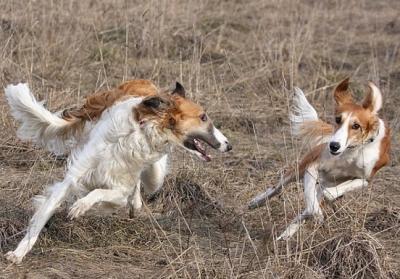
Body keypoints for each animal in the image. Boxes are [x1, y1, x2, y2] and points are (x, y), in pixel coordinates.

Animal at [248, 78, 390, 241]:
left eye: (356, 126)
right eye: (338, 119)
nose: (333, 146)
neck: (350, 153)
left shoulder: (366, 179)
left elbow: (327, 194)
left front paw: (318, 212)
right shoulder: (312, 166)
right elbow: (310, 198)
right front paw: (316, 213)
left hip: (330, 181)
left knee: (312, 203)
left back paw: (286, 235)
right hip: (300, 169)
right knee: (278, 187)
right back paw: (258, 203)